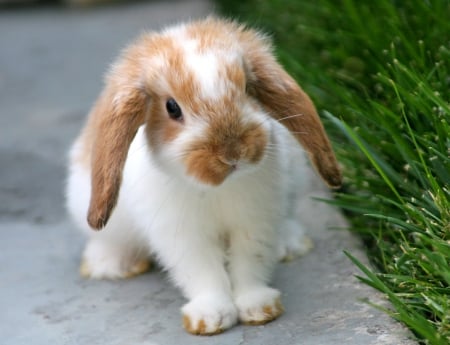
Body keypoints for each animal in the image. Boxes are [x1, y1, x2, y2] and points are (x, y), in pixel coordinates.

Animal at [66, 17, 342, 334]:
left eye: (247, 88)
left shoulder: (255, 222)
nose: (233, 152)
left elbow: (250, 263)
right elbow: (202, 272)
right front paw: (211, 318)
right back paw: (111, 266)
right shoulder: (183, 235)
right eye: (172, 107)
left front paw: (259, 308)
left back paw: (290, 245)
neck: (216, 189)